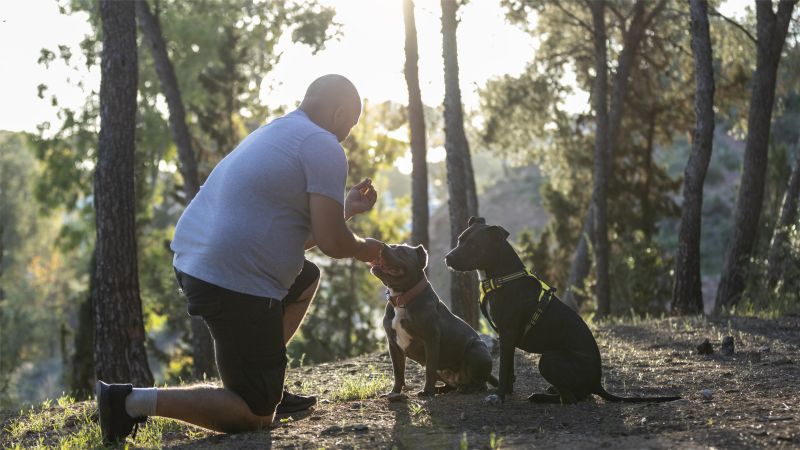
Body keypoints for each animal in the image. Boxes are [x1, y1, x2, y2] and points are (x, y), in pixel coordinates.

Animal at [372, 243, 496, 398]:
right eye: (392, 246)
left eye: (401, 251)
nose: (381, 246)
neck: (402, 298)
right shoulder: (394, 345)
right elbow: (398, 372)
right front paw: (394, 392)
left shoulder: (430, 339)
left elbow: (429, 369)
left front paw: (426, 392)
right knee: (451, 385)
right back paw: (442, 389)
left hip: (477, 349)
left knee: (481, 384)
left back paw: (467, 389)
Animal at [446, 218, 680, 404]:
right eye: (459, 239)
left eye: (474, 245)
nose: (447, 257)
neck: (502, 277)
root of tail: (597, 382)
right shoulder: (506, 337)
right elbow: (509, 368)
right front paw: (508, 393)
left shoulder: (508, 333)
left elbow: (504, 369)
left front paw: (499, 396)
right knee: (577, 395)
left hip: (548, 359)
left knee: (571, 399)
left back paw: (541, 397)